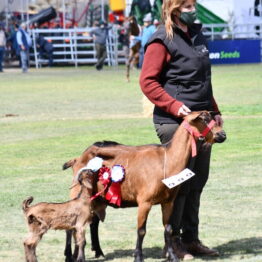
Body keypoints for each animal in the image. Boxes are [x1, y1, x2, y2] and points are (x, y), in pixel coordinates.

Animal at [63, 111, 225, 262]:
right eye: (203, 119)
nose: (222, 135)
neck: (166, 160)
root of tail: (77, 159)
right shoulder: (144, 202)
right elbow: (141, 230)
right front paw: (138, 257)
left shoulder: (168, 202)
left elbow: (168, 229)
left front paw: (173, 256)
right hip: (79, 192)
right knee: (73, 225)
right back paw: (71, 255)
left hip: (98, 197)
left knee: (92, 223)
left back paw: (96, 252)